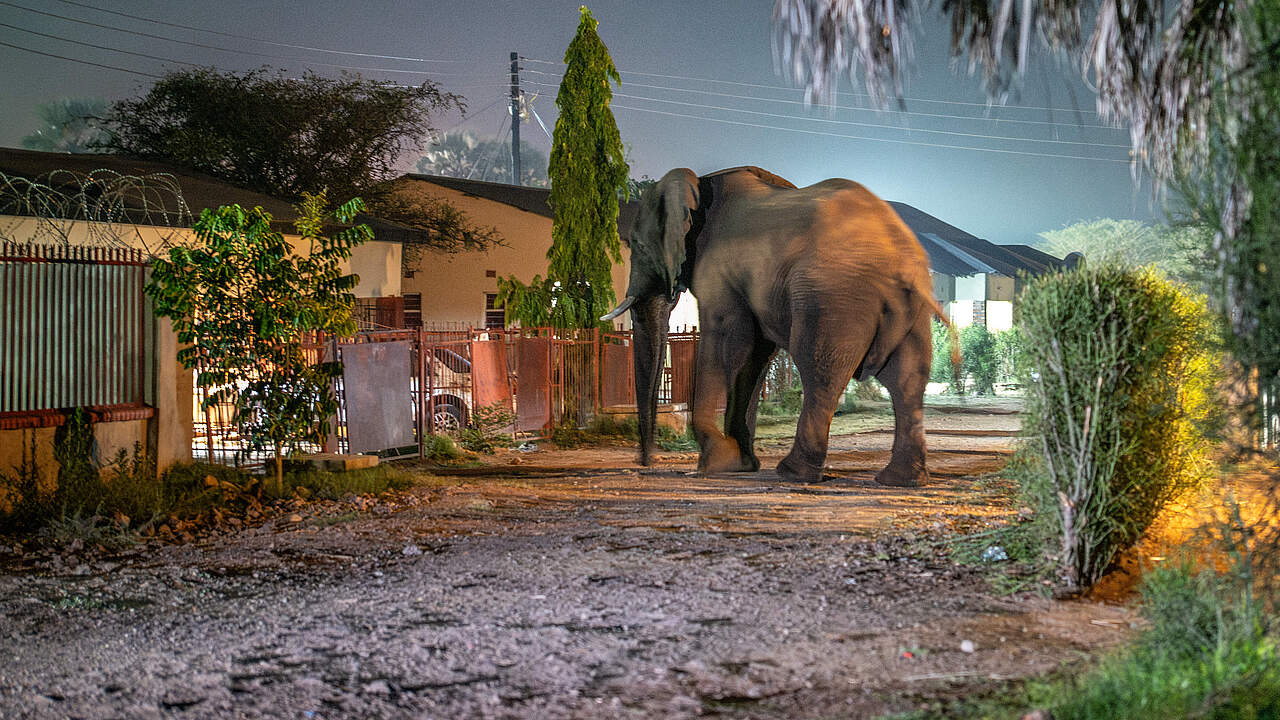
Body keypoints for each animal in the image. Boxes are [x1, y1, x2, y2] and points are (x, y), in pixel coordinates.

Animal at [599, 165, 952, 484]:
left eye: (636, 244)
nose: (646, 461)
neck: (701, 184)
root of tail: (899, 258)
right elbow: (754, 355)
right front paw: (740, 465)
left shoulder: (718, 271)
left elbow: (726, 342)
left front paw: (713, 464)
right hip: (907, 309)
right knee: (907, 379)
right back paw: (901, 480)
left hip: (832, 299)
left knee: (819, 371)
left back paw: (794, 473)